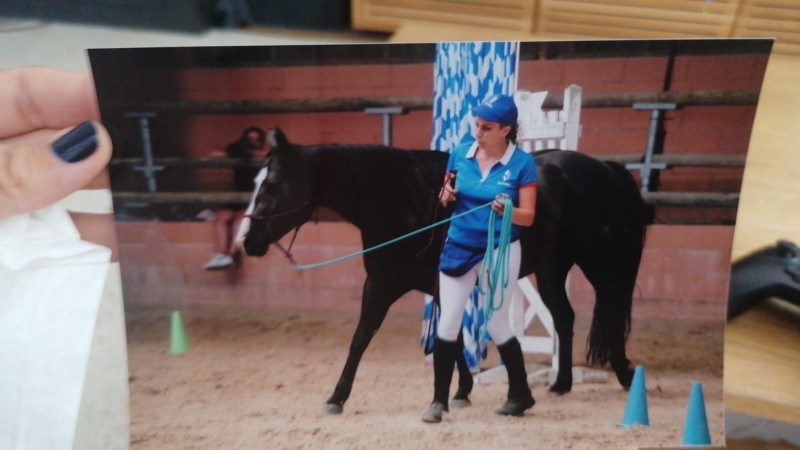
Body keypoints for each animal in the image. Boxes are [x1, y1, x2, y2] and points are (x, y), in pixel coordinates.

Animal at [243, 127, 648, 415]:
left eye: (273, 185)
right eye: (255, 183)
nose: (248, 241)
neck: (404, 199)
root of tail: (606, 169)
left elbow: (442, 341)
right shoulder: (388, 284)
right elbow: (375, 338)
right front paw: (338, 397)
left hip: (601, 264)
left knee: (611, 313)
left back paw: (625, 374)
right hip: (552, 270)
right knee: (564, 317)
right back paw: (561, 383)